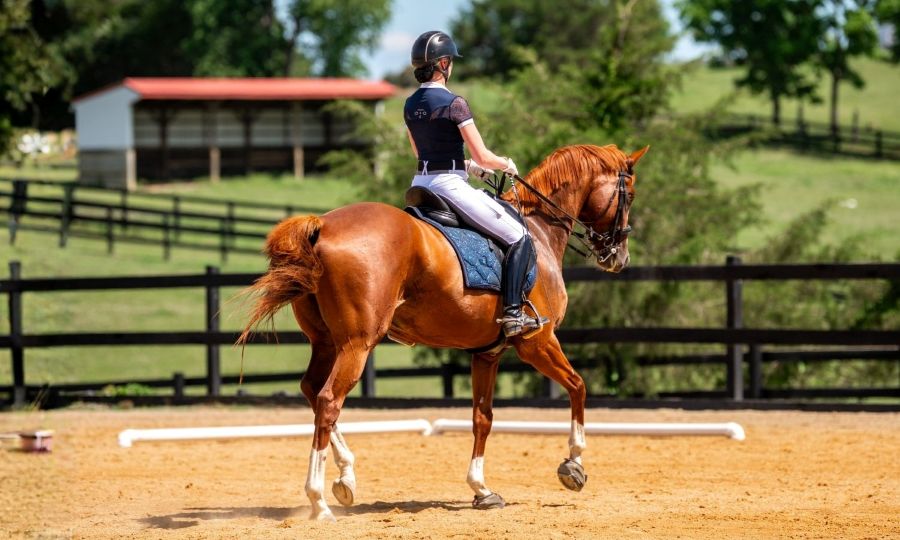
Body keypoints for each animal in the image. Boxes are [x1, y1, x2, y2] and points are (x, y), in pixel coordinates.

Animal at [238, 143, 648, 520]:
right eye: (629, 194)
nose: (619, 258)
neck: (539, 231)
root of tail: (323, 226)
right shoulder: (537, 342)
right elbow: (578, 387)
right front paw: (573, 465)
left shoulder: (488, 352)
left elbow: (483, 418)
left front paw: (482, 490)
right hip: (357, 344)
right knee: (327, 401)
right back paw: (319, 500)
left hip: (325, 343)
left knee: (311, 390)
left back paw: (346, 479)